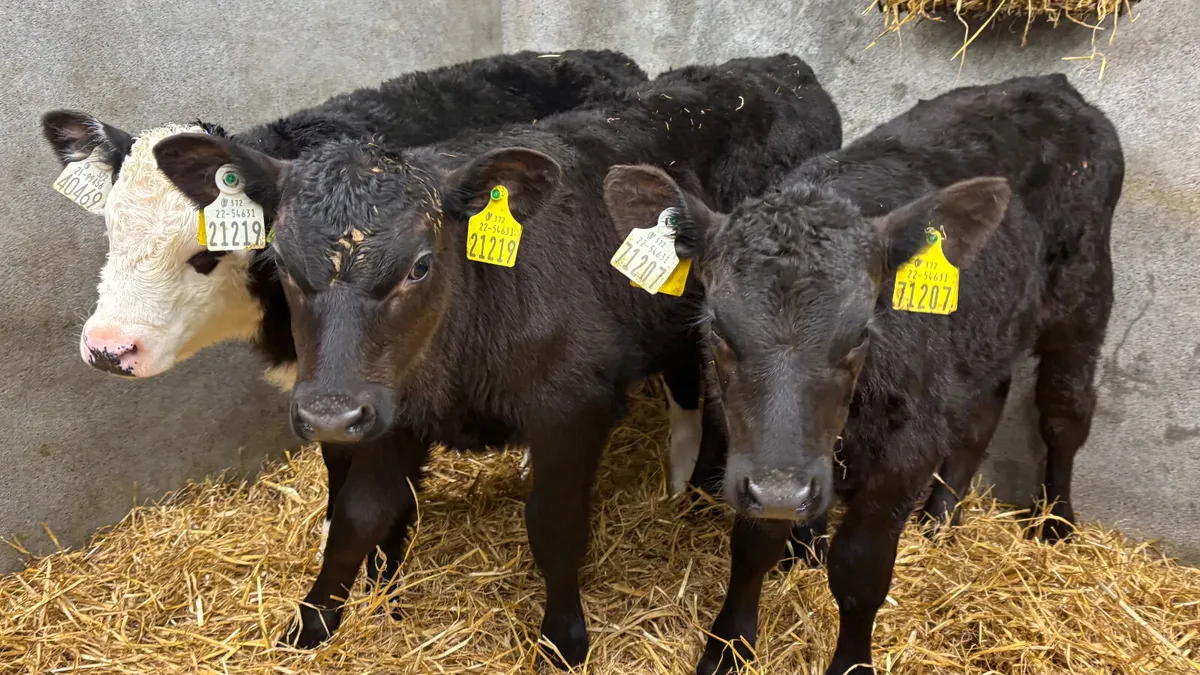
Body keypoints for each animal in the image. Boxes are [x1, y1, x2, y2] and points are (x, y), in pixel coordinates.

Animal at [152, 54, 842, 662]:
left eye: (420, 265)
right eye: (282, 263)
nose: (327, 416)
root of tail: (782, 66)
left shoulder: (572, 408)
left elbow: (555, 527)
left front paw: (563, 642)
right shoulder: (388, 410)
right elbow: (356, 518)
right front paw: (311, 625)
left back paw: (792, 540)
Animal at [602, 73, 1122, 674]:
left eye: (859, 334)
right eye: (718, 328)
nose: (783, 490)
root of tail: (1052, 86)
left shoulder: (904, 451)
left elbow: (860, 570)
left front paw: (851, 661)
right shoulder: (754, 449)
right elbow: (753, 545)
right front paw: (727, 649)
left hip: (1083, 296)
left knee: (1065, 412)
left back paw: (1055, 523)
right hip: (990, 330)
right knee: (984, 408)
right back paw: (941, 518)